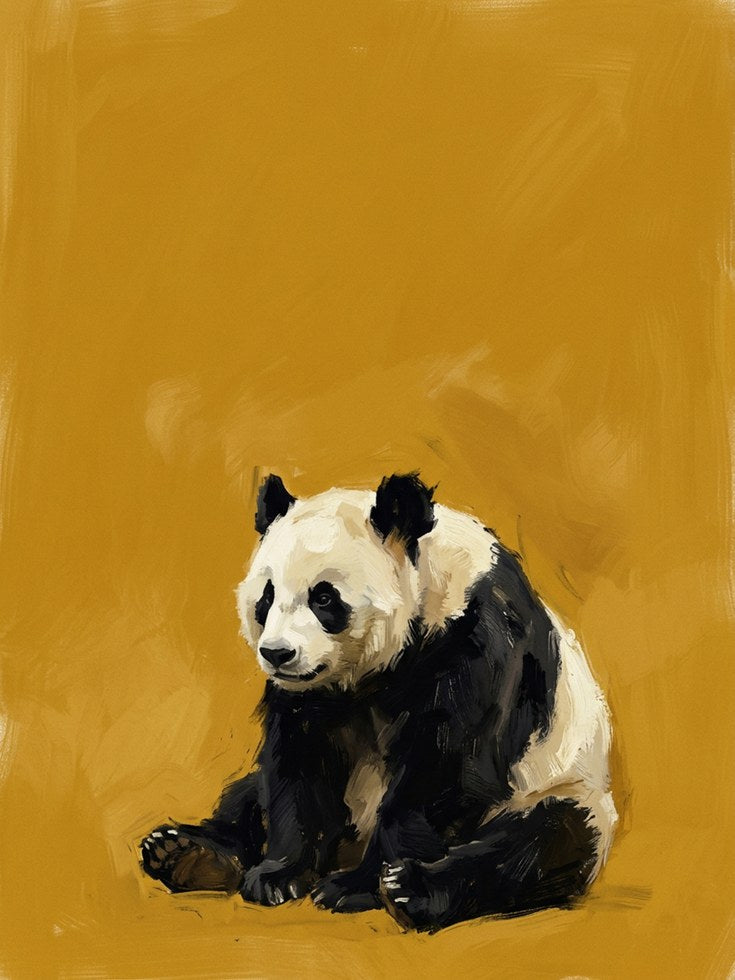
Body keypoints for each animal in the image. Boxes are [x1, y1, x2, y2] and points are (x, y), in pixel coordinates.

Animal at [141, 473, 617, 931]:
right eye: (267, 597)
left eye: (324, 597)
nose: (277, 654)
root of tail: (351, 842)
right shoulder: (310, 695)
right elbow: (297, 762)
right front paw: (278, 875)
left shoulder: (477, 637)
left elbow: (447, 766)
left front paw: (356, 888)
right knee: (244, 796)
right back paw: (184, 854)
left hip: (563, 789)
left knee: (539, 845)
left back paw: (413, 891)